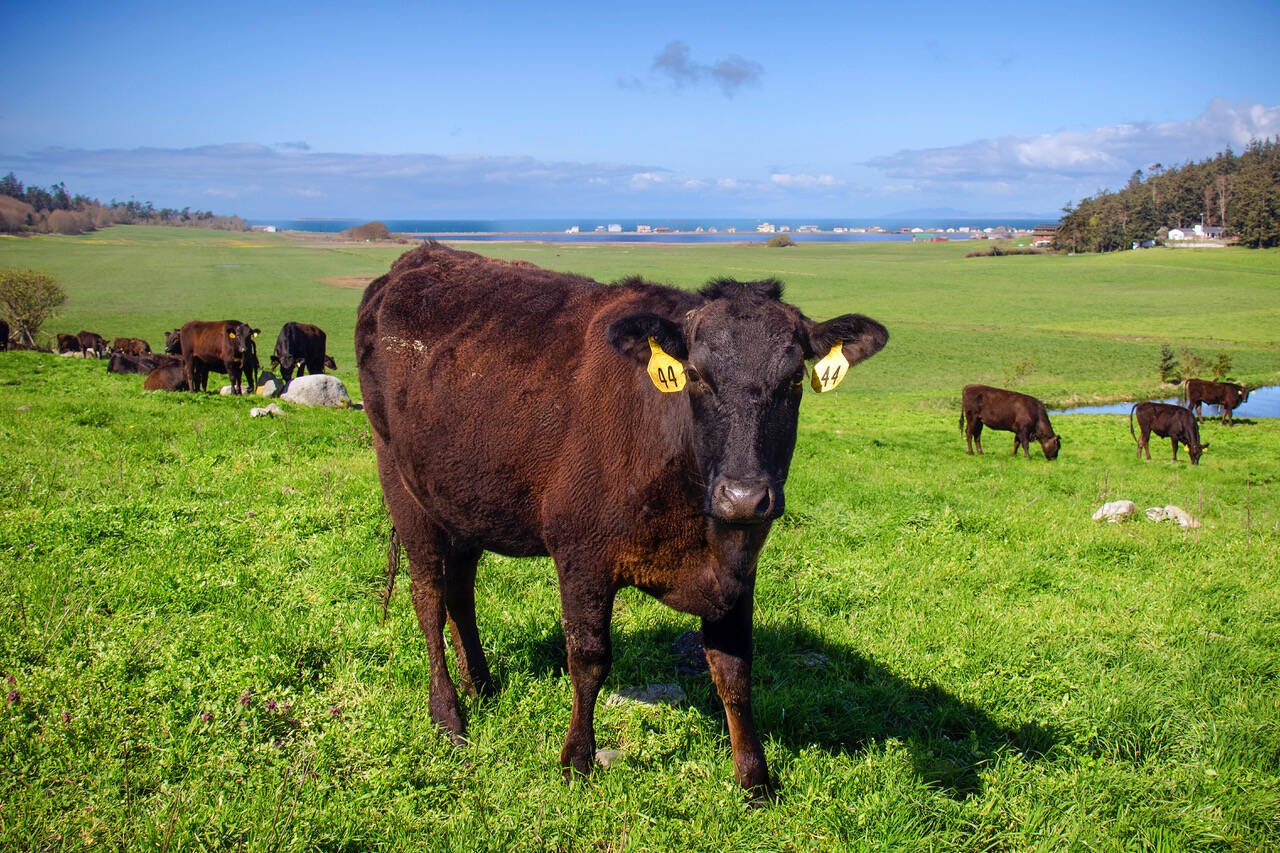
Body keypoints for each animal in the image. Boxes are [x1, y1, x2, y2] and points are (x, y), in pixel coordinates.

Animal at [353, 240, 890, 788]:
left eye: (793, 379)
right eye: (695, 375)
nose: (742, 497)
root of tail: (414, 259)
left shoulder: (738, 569)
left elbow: (734, 671)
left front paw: (754, 779)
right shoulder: (580, 553)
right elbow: (589, 658)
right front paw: (577, 759)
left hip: (464, 501)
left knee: (460, 593)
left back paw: (481, 686)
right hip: (401, 484)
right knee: (428, 597)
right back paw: (448, 713)